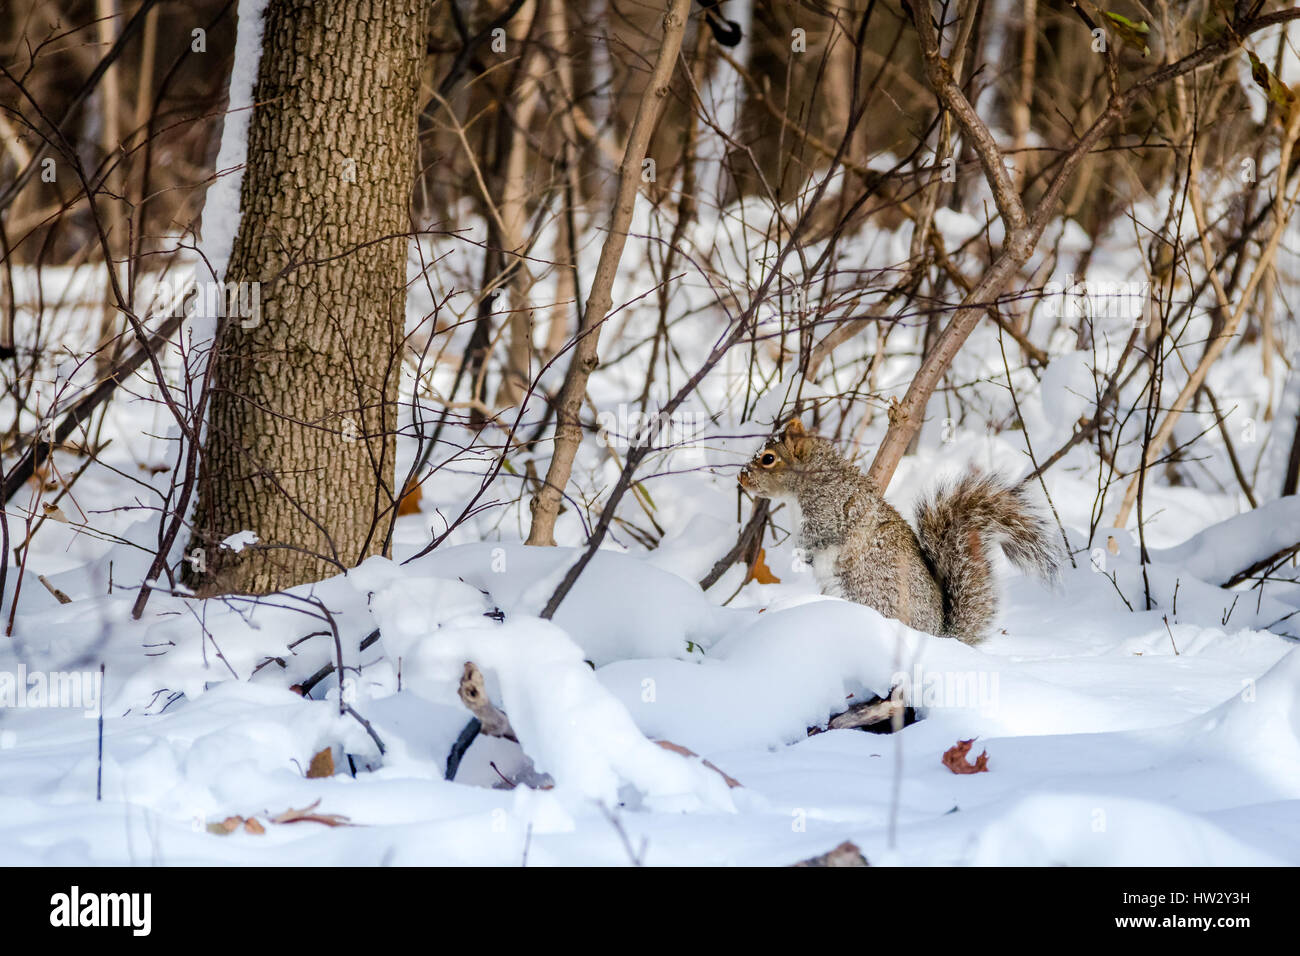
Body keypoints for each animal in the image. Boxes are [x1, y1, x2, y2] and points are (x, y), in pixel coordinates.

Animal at [738, 420, 1062, 644]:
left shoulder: (830, 511)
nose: (741, 476)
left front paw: (805, 553)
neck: (807, 481)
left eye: (768, 458)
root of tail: (938, 635)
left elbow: (819, 535)